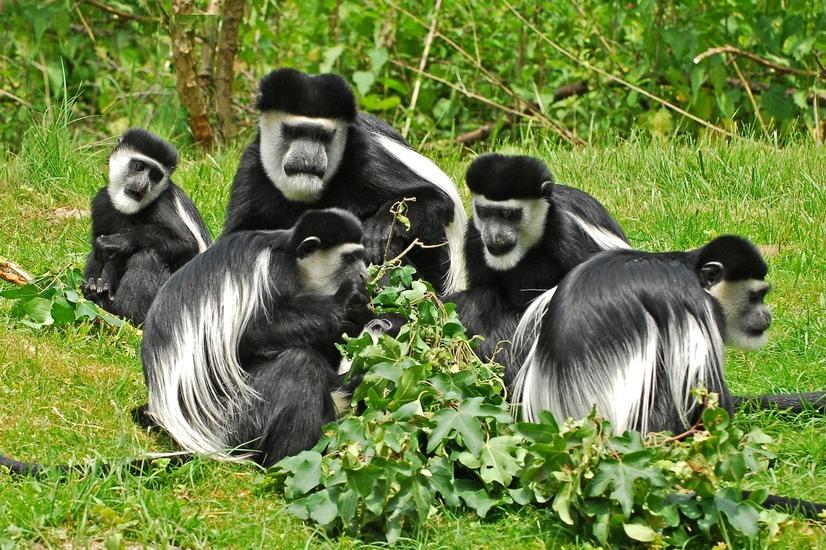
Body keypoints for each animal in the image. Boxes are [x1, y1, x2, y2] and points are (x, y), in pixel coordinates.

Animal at [83, 128, 212, 325]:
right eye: (138, 166)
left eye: (155, 175)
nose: (143, 184)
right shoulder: (102, 202)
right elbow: (98, 250)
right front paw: (96, 284)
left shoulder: (161, 204)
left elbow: (185, 241)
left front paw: (116, 243)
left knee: (146, 256)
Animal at [141, 208, 376, 467]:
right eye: (351, 258)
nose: (365, 275)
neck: (293, 259)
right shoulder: (274, 273)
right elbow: (255, 332)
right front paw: (346, 300)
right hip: (236, 420)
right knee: (300, 364)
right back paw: (291, 461)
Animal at [223, 68, 467, 294]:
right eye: (294, 132)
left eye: (323, 136)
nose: (308, 158)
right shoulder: (252, 169)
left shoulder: (365, 155)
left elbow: (436, 198)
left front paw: (380, 225)